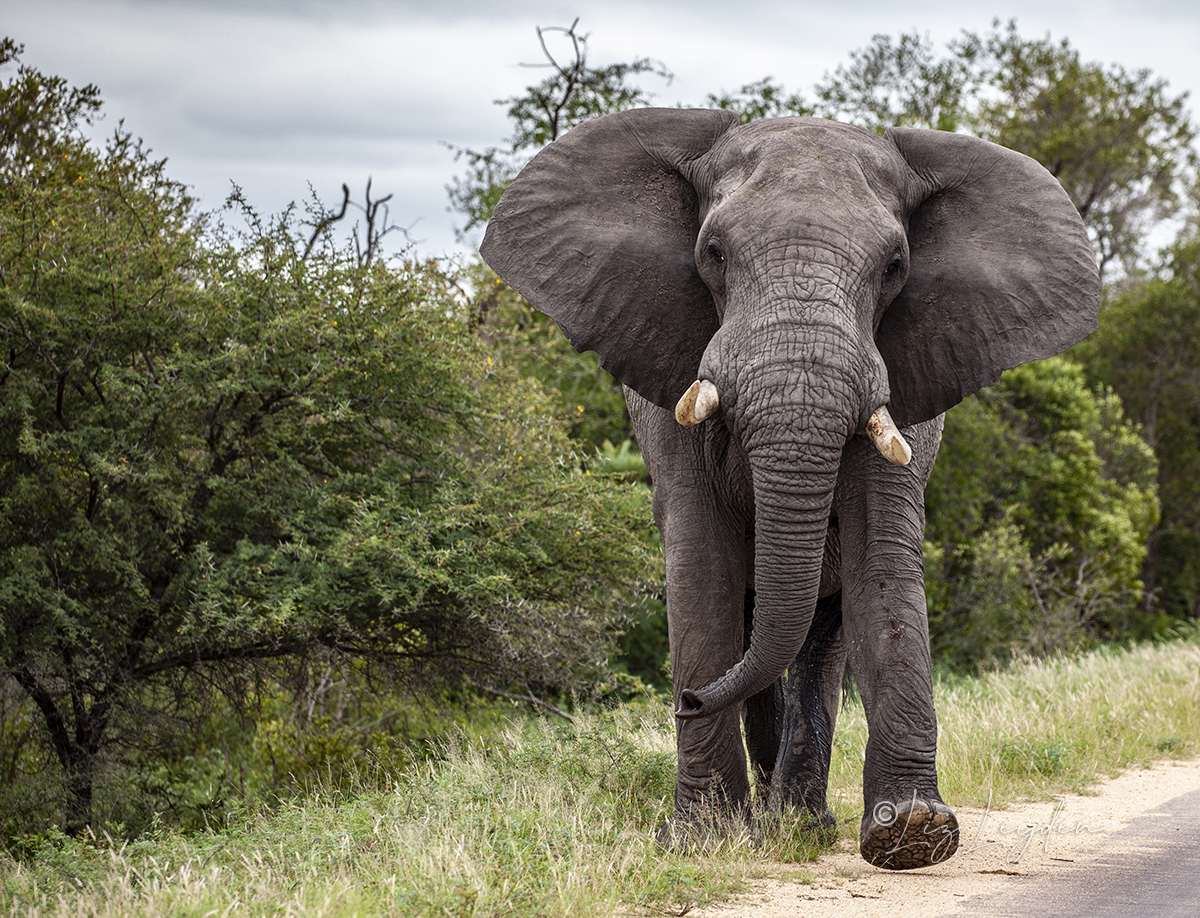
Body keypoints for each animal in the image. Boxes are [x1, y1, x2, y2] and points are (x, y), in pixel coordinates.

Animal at [477, 107, 1099, 868]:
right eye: (713, 252)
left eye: (895, 267)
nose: (686, 700)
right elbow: (702, 564)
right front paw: (705, 840)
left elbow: (880, 560)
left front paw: (912, 834)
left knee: (817, 641)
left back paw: (800, 824)